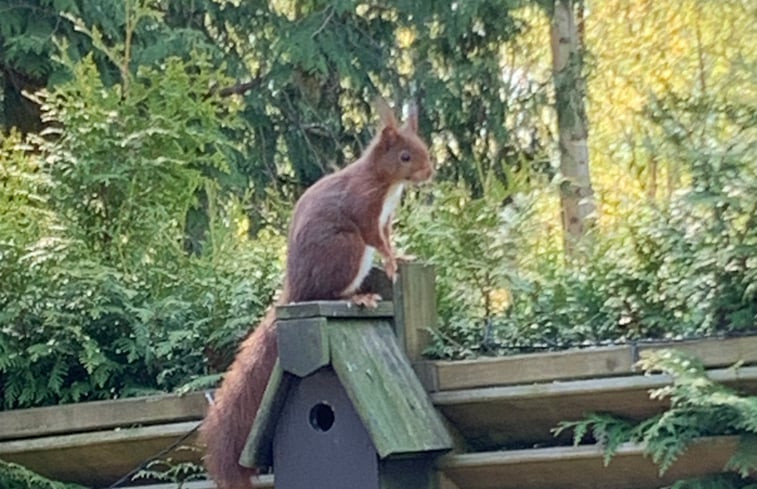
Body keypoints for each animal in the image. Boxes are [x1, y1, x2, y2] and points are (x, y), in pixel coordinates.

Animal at [201, 100, 432, 488]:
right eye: (405, 156)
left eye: (425, 148)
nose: (429, 172)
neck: (384, 183)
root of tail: (295, 291)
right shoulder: (364, 209)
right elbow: (377, 237)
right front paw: (390, 263)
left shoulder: (386, 218)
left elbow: (389, 238)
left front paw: (401, 257)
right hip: (346, 249)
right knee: (330, 289)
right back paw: (356, 297)